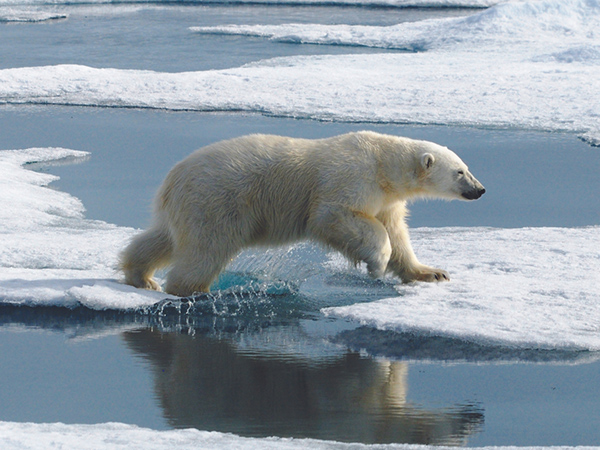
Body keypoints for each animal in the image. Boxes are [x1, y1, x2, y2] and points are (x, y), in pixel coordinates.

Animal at [119, 132, 486, 298]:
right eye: (460, 172)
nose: (480, 189)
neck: (383, 162)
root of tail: (172, 179)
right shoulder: (350, 178)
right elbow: (332, 216)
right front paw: (376, 264)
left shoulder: (387, 199)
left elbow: (397, 233)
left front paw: (432, 272)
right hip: (218, 201)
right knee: (205, 249)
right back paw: (192, 290)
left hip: (189, 207)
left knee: (163, 238)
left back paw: (142, 276)